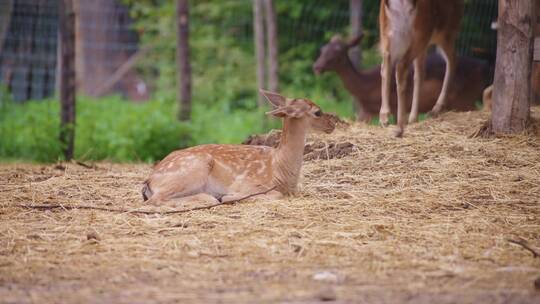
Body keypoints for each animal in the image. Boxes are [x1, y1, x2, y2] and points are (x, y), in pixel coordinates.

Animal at [141, 88, 336, 207]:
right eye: (317, 112)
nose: (332, 124)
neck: (280, 170)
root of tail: (149, 181)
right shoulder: (246, 183)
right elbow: (274, 195)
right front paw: (228, 197)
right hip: (193, 169)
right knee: (156, 200)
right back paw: (212, 197)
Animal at [312, 34, 490, 122]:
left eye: (338, 52)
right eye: (323, 49)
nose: (316, 66)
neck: (366, 89)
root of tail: (484, 67)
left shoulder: (394, 104)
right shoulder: (365, 112)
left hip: (464, 99)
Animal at [380, 0, 464, 136]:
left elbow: (419, 74)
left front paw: (413, 118)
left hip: (388, 32)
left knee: (386, 65)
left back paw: (386, 118)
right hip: (429, 31)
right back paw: (400, 127)